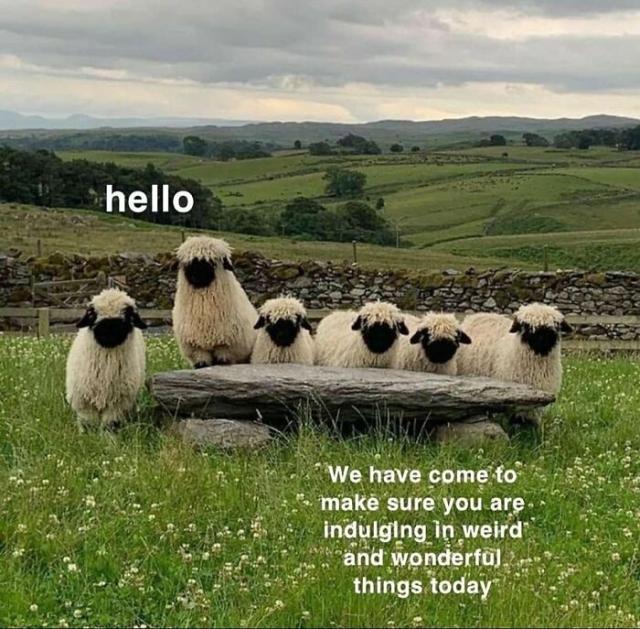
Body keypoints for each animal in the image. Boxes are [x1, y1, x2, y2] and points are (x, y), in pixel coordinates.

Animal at [65, 288, 147, 430]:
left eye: (128, 315)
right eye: (92, 315)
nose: (110, 331)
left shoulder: (118, 402)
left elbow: (111, 423)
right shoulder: (84, 401)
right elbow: (89, 422)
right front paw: (89, 434)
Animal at [171, 236, 257, 368]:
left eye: (212, 262)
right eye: (188, 263)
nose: (197, 275)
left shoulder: (225, 346)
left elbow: (222, 360)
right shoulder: (197, 348)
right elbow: (202, 362)